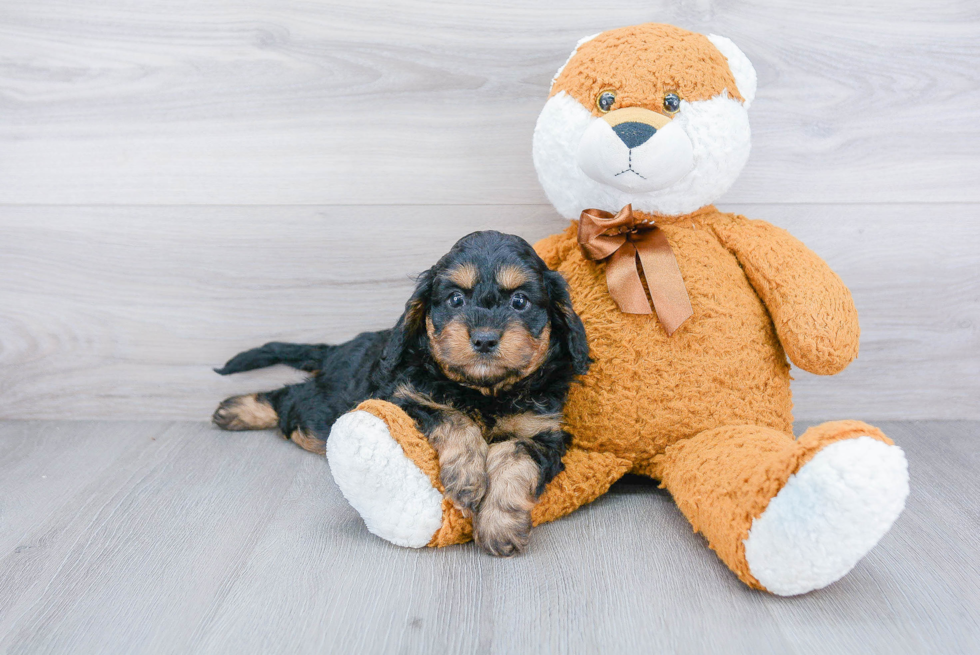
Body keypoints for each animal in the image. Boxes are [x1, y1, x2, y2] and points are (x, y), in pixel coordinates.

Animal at [212, 233, 588, 556]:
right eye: (455, 299)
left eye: (519, 301)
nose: (484, 339)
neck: (484, 390)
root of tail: (335, 350)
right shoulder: (404, 397)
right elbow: (453, 415)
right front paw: (467, 476)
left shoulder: (543, 432)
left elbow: (513, 456)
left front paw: (499, 524)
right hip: (323, 405)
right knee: (290, 401)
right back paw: (236, 410)